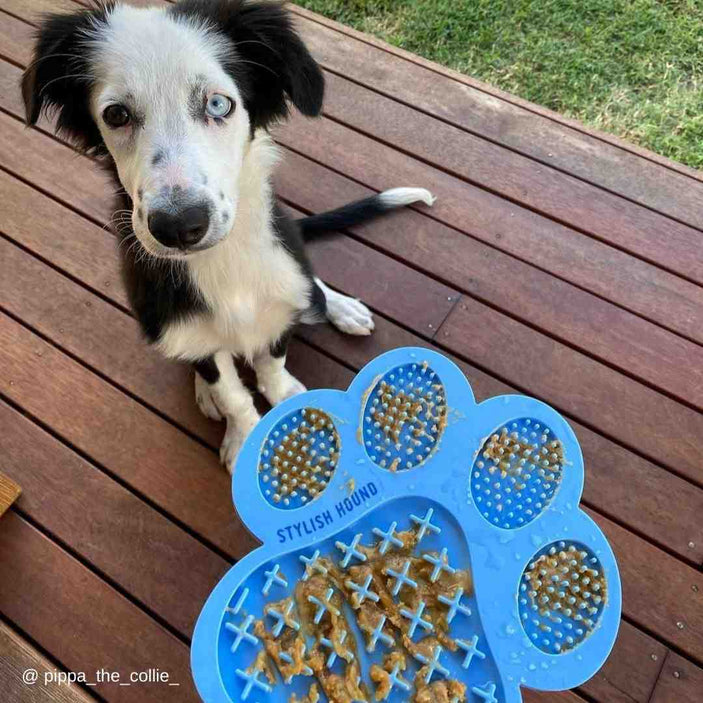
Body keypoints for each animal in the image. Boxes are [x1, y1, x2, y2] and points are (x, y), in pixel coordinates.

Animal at [23, 1, 434, 472]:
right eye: (116, 115)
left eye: (219, 104)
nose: (179, 226)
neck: (224, 259)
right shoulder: (182, 327)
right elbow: (231, 390)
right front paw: (242, 434)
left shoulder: (278, 302)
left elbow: (272, 365)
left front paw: (286, 396)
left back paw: (340, 307)